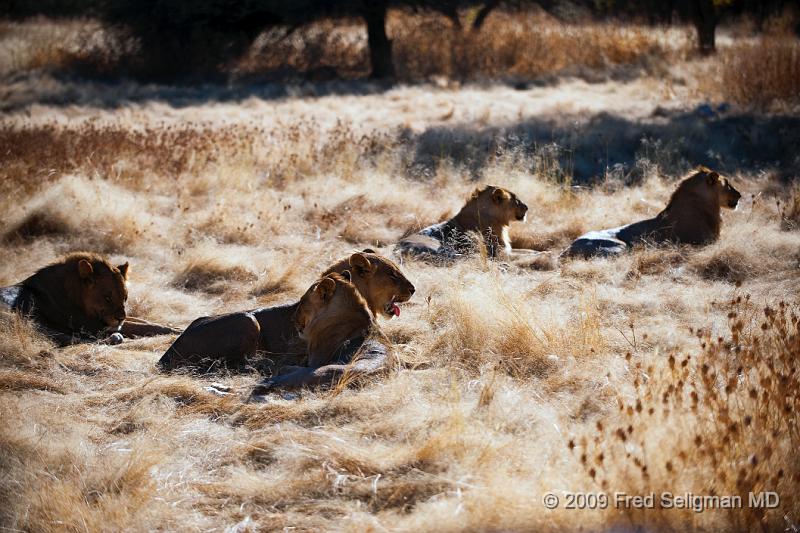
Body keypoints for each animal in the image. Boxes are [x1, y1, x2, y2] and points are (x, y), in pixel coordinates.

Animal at [0, 252, 178, 344]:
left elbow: (145, 322)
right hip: (24, 318)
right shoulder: (92, 325)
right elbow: (142, 327)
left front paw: (174, 327)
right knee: (75, 339)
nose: (120, 318)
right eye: (107, 298)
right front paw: (175, 332)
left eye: (125, 298)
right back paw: (114, 338)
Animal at [396, 185, 528, 260]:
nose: (527, 207)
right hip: (440, 246)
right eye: (516, 200)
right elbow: (523, 255)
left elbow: (525, 251)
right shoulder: (497, 250)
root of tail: (397, 249)